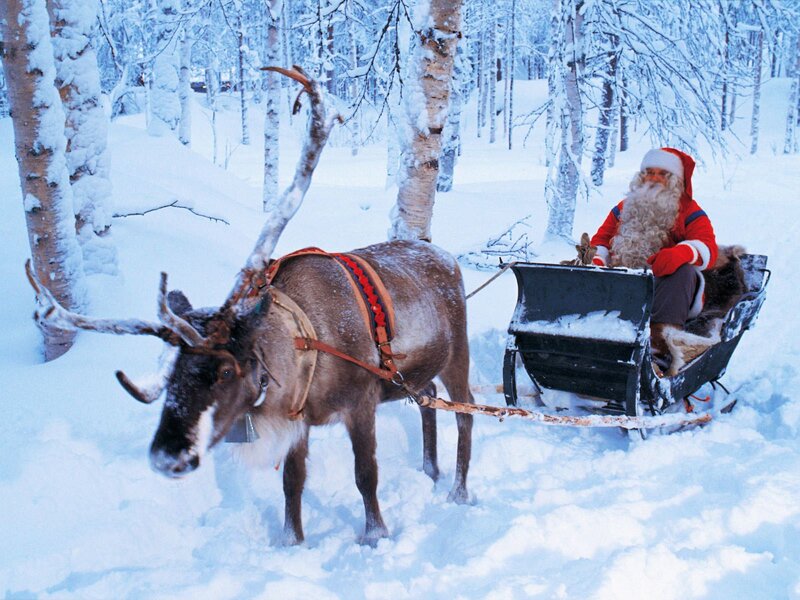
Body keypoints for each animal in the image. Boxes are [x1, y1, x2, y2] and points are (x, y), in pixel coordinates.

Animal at [25, 66, 475, 547]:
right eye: (169, 374)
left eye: (225, 370)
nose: (167, 458)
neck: (307, 343)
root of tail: (447, 256)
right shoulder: (300, 419)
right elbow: (292, 483)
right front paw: (291, 541)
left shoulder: (361, 403)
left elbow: (365, 476)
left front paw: (374, 535)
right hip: (417, 373)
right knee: (427, 399)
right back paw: (429, 471)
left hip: (458, 354)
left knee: (465, 413)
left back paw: (459, 490)